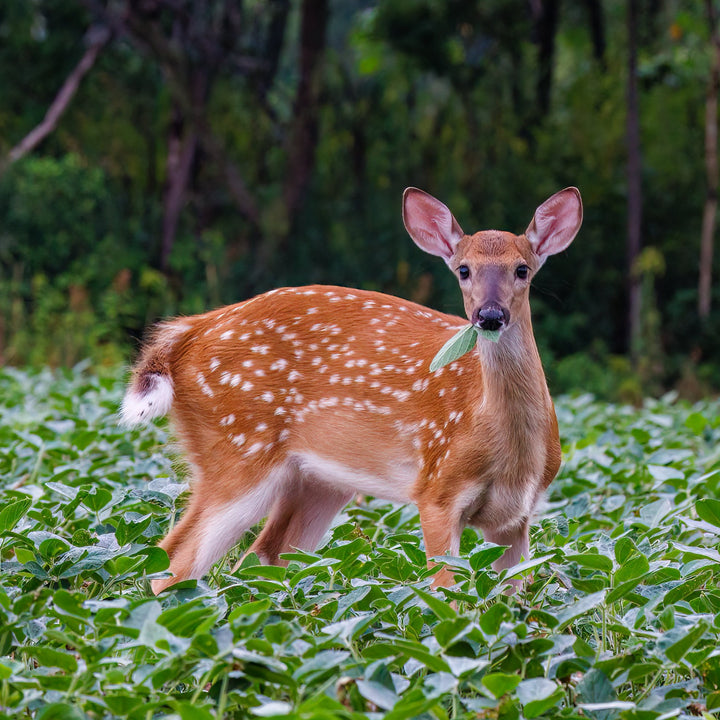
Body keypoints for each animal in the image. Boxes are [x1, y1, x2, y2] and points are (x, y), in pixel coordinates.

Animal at [121, 186, 582, 595]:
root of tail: (186, 334)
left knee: (258, 558)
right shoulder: (437, 488)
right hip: (238, 449)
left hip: (317, 481)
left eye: (522, 269)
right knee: (175, 560)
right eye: (463, 269)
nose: (489, 315)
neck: (509, 449)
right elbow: (446, 594)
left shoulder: (517, 517)